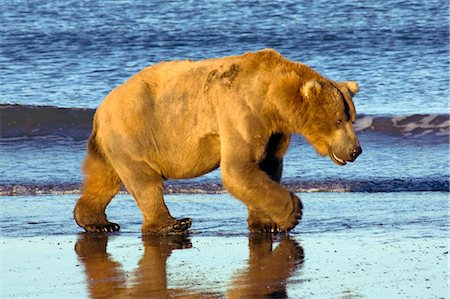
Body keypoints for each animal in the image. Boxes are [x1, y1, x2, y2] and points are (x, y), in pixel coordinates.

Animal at [74, 49, 362, 236]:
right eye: (338, 120)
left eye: (352, 118)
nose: (355, 150)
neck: (272, 100)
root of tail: (100, 108)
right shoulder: (240, 110)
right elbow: (238, 167)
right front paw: (292, 213)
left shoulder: (275, 131)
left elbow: (267, 166)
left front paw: (265, 223)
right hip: (135, 132)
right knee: (145, 182)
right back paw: (172, 224)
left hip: (114, 143)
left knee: (105, 178)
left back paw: (97, 221)